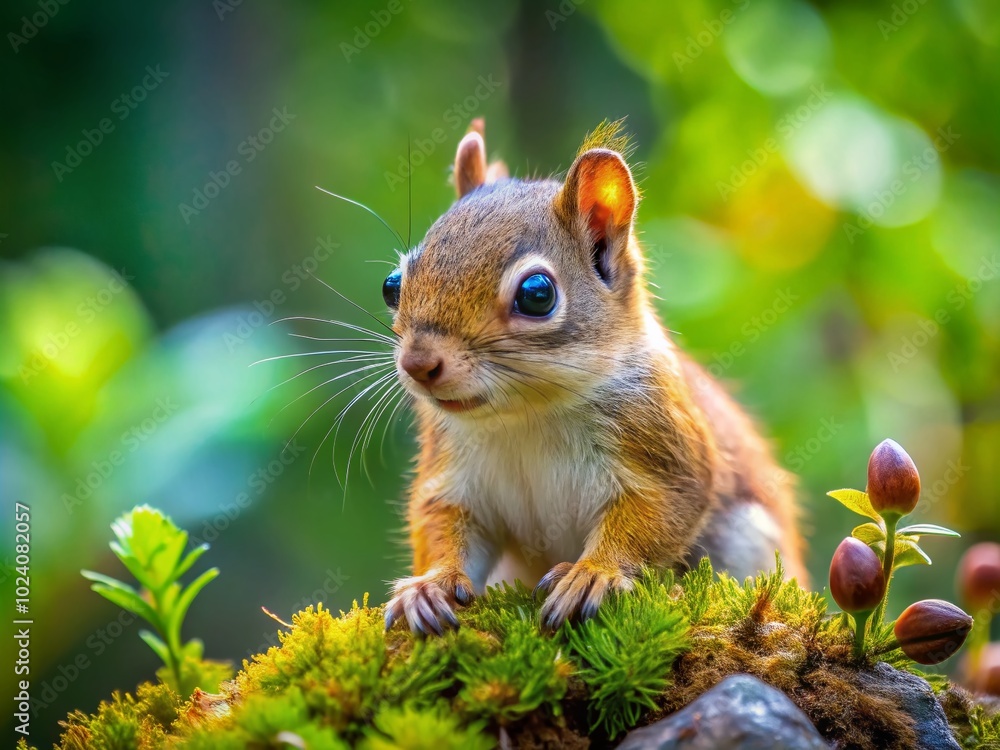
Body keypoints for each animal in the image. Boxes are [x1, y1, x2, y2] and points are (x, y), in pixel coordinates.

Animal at [381, 119, 806, 634]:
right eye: (393, 286)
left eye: (537, 294)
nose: (419, 363)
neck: (526, 415)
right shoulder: (453, 469)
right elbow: (440, 521)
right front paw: (429, 585)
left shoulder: (663, 444)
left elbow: (657, 512)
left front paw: (593, 574)